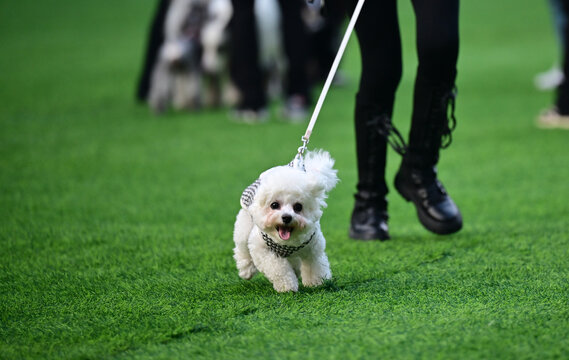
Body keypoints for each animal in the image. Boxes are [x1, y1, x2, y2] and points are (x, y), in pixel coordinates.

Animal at [232, 150, 338, 292]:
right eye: (274, 205)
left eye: (298, 207)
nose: (287, 217)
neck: (287, 243)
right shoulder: (262, 249)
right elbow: (279, 269)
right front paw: (287, 287)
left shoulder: (313, 248)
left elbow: (315, 266)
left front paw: (317, 283)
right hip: (244, 226)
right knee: (242, 248)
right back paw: (246, 270)